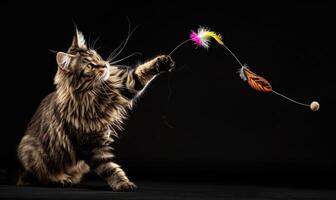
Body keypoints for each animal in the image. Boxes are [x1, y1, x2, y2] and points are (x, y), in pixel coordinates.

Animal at [16, 27, 175, 191]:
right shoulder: (92, 146)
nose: (104, 65)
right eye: (89, 66)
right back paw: (61, 180)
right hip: (30, 151)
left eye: (97, 56)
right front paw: (123, 184)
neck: (94, 94)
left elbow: (140, 73)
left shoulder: (124, 87)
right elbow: (110, 168)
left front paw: (163, 62)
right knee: (42, 177)